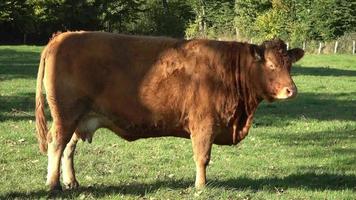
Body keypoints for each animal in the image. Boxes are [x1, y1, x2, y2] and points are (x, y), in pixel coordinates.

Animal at [35, 31, 304, 191]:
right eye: (271, 65)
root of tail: (62, 36)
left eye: (289, 65)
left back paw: (71, 182)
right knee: (57, 144)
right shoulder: (204, 123)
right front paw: (201, 186)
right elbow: (202, 157)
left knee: (68, 148)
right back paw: (52, 184)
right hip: (66, 115)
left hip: (80, 119)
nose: (291, 90)